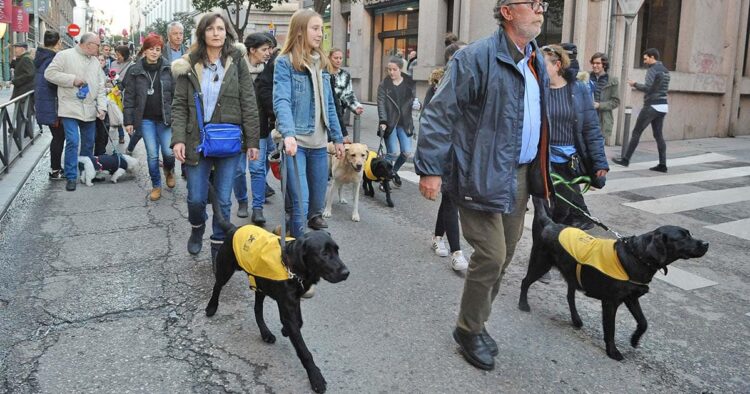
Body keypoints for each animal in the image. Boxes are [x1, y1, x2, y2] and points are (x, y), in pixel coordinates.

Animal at [206, 187, 352, 390]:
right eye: (324, 254)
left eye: (337, 251)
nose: (346, 273)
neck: (292, 267)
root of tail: (234, 228)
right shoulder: (287, 305)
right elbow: (304, 350)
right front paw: (316, 377)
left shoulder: (293, 301)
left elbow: (299, 322)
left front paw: (284, 330)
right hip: (225, 269)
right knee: (217, 287)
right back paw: (211, 307)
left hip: (259, 285)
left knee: (257, 309)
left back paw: (266, 333)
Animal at [520, 196, 708, 360]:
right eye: (682, 237)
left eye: (690, 234)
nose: (706, 244)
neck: (637, 256)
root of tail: (550, 223)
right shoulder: (610, 302)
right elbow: (610, 329)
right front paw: (613, 351)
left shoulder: (631, 297)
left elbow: (643, 322)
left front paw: (634, 339)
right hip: (540, 264)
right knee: (525, 282)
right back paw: (523, 304)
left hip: (572, 274)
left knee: (569, 296)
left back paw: (576, 320)